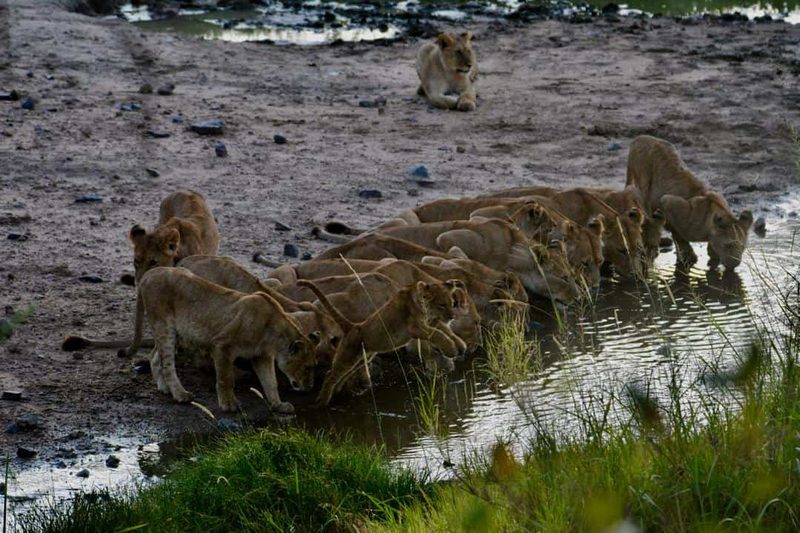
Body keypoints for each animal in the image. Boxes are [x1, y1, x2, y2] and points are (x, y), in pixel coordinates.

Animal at [138, 267, 317, 414]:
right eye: (307, 368)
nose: (309, 387)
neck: (274, 336)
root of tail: (151, 273)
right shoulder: (222, 345)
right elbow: (226, 378)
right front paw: (229, 405)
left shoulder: (262, 356)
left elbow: (271, 382)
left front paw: (278, 405)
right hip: (164, 326)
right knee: (168, 364)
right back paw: (180, 394)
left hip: (175, 333)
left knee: (155, 356)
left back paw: (165, 388)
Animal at [297, 278, 468, 405]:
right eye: (442, 305)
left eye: (452, 303)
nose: (452, 317)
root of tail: (354, 327)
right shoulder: (415, 327)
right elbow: (437, 334)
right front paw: (451, 349)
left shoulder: (430, 321)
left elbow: (445, 331)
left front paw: (460, 346)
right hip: (348, 356)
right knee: (330, 375)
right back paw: (322, 402)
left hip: (362, 358)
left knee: (343, 375)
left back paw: (340, 392)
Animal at [626, 135, 753, 269]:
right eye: (728, 245)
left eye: (742, 247)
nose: (736, 264)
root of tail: (640, 138)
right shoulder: (668, 201)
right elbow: (678, 233)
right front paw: (688, 257)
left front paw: (712, 257)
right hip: (642, 185)